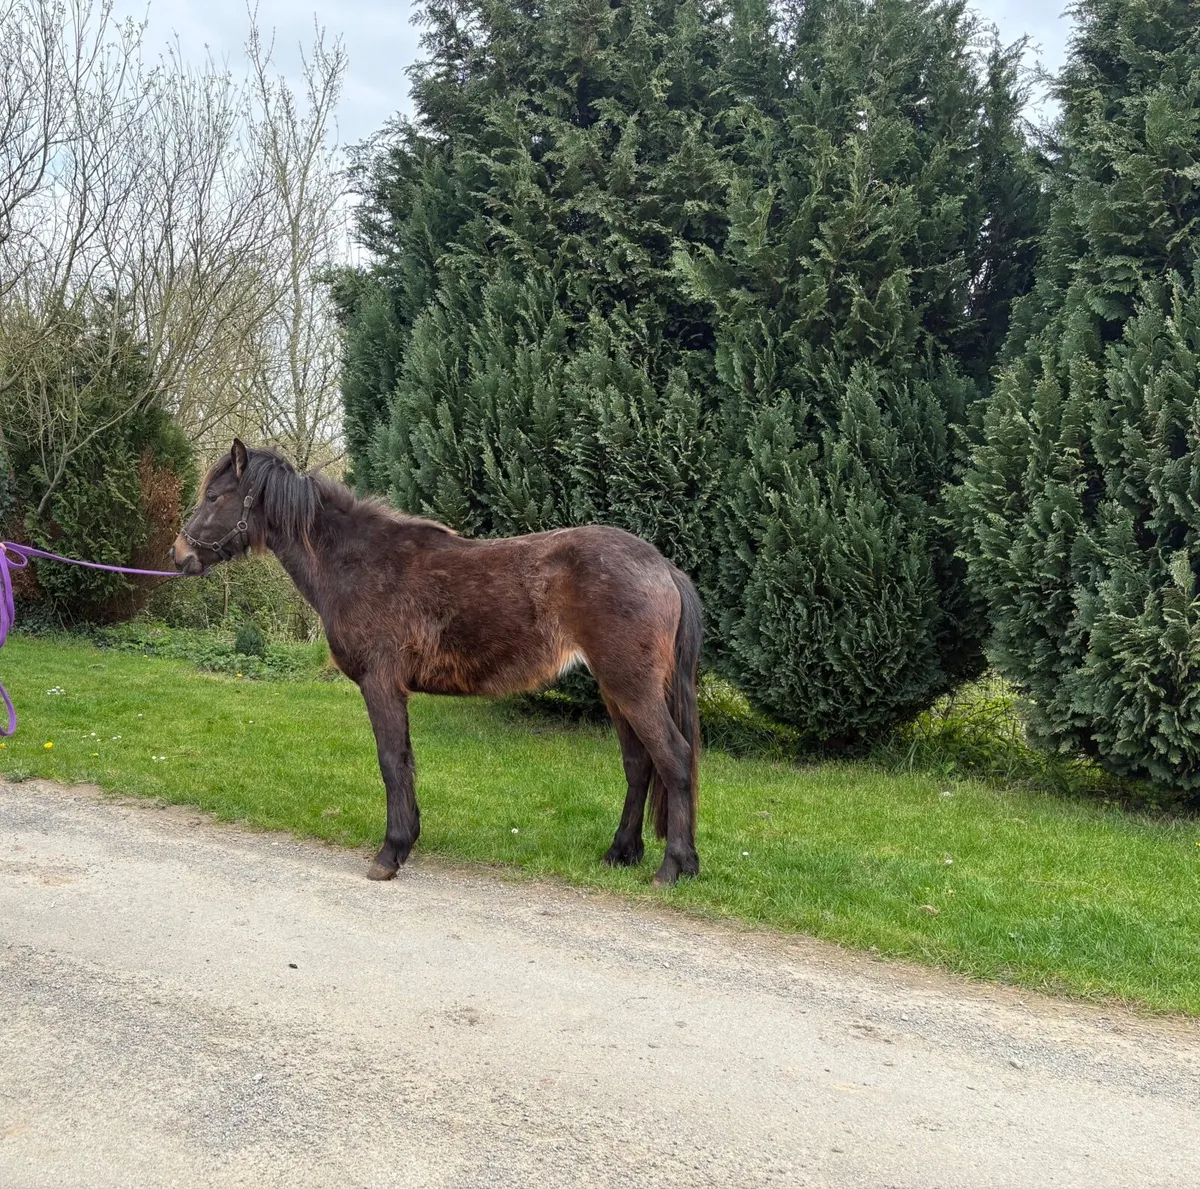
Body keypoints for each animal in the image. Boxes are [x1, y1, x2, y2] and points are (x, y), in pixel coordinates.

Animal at [172, 440, 702, 886]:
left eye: (215, 496)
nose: (179, 556)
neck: (356, 562)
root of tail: (663, 567)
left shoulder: (380, 685)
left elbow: (391, 761)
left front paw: (390, 853)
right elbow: (405, 761)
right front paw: (408, 841)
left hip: (631, 687)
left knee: (674, 758)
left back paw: (673, 867)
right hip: (616, 690)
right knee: (639, 764)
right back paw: (622, 854)